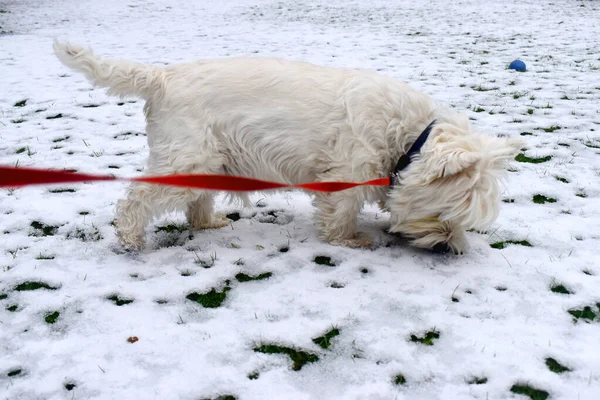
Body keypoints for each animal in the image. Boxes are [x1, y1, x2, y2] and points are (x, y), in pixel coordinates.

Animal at [52, 40, 520, 253]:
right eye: (444, 215)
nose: (449, 249)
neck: (408, 137)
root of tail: (162, 78)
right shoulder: (347, 171)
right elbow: (341, 211)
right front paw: (350, 240)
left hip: (207, 157)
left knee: (194, 198)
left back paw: (208, 223)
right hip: (188, 154)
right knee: (138, 197)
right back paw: (132, 239)